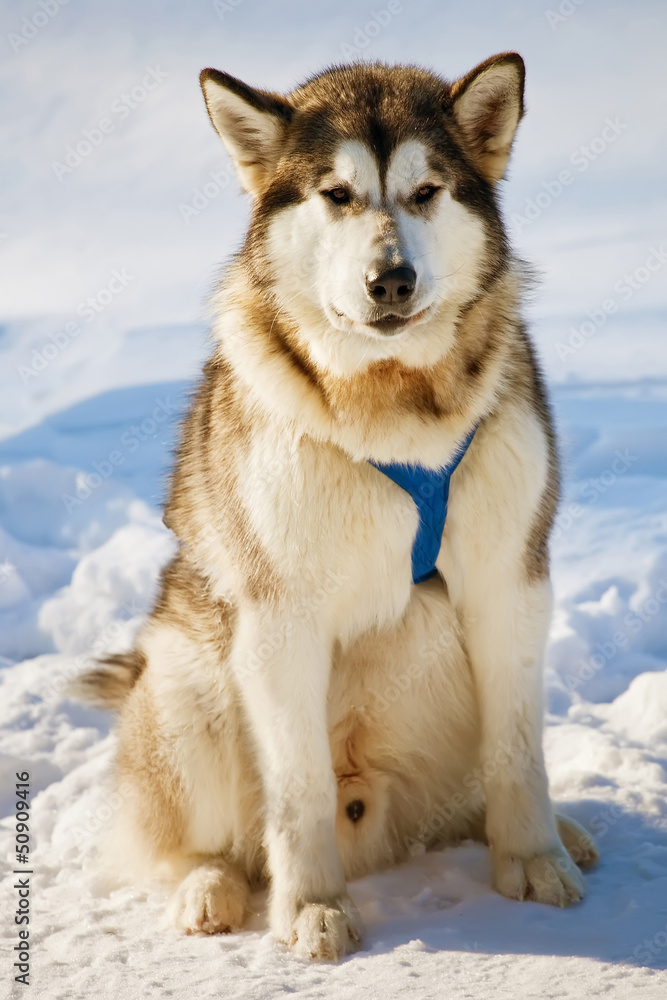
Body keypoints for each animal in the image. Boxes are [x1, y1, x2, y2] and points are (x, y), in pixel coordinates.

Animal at [75, 52, 596, 960]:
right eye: (337, 194)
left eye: (425, 192)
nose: (390, 279)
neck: (394, 408)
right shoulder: (282, 617)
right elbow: (299, 788)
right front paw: (312, 908)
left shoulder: (509, 585)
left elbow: (516, 752)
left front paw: (533, 860)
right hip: (186, 685)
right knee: (194, 846)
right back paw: (210, 889)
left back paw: (557, 832)